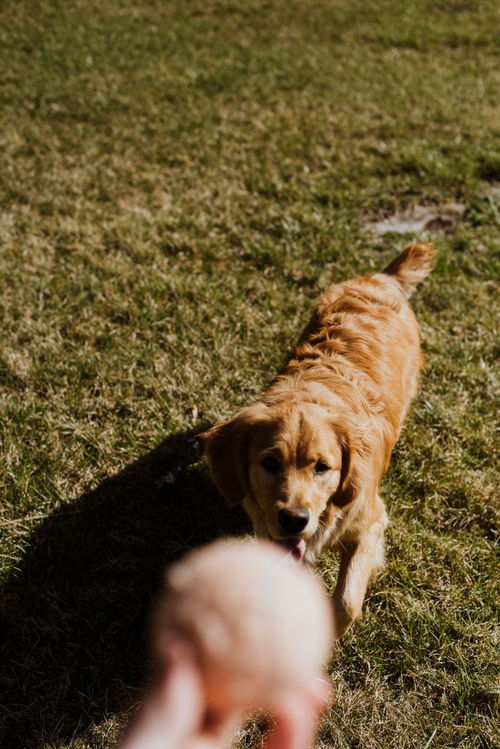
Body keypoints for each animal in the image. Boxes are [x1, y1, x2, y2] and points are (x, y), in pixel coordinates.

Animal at [203, 243, 434, 636]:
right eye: (269, 463)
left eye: (322, 467)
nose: (294, 519)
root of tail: (380, 279)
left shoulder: (371, 522)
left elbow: (346, 602)